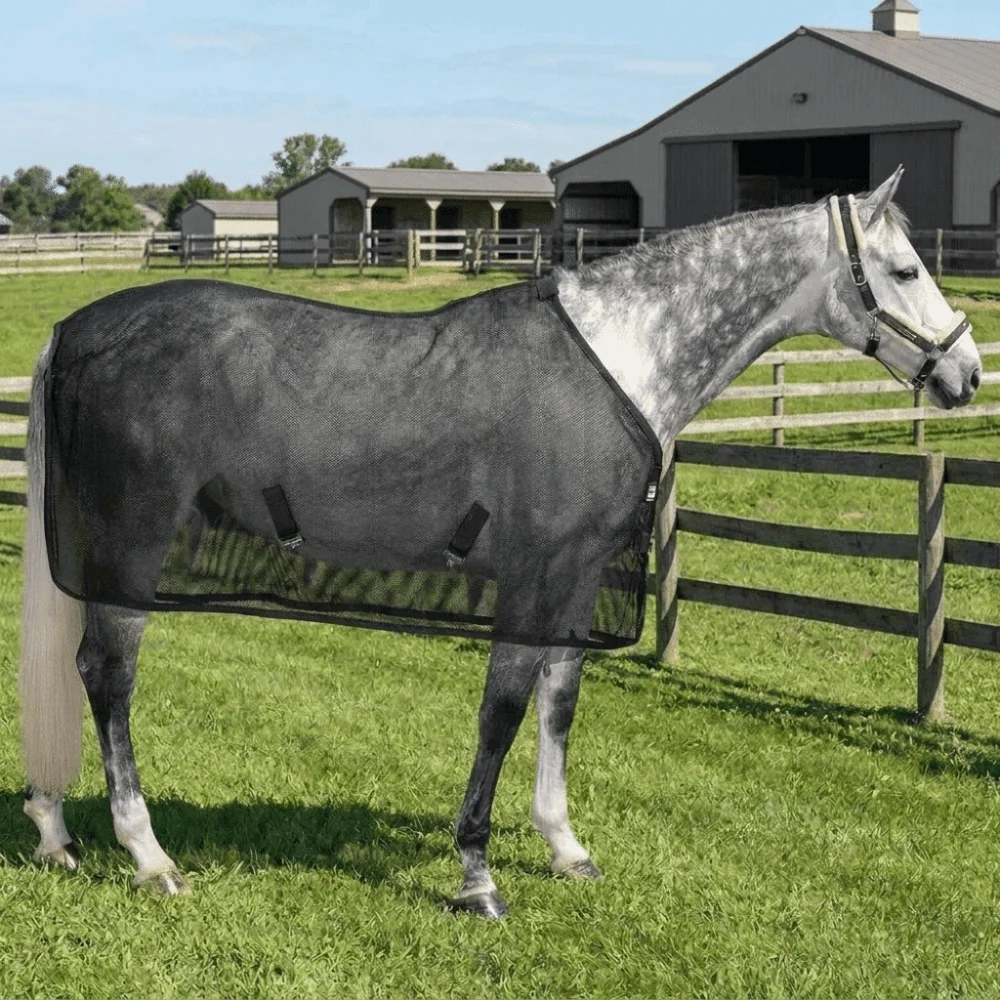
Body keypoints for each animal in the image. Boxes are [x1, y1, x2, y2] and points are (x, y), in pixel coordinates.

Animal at [19, 168, 982, 919]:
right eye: (904, 267)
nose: (967, 374)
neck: (616, 360)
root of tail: (74, 331)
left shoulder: (578, 580)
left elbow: (559, 703)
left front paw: (565, 846)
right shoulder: (533, 576)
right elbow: (505, 711)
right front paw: (479, 877)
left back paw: (56, 832)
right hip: (131, 553)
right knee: (108, 678)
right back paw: (148, 856)